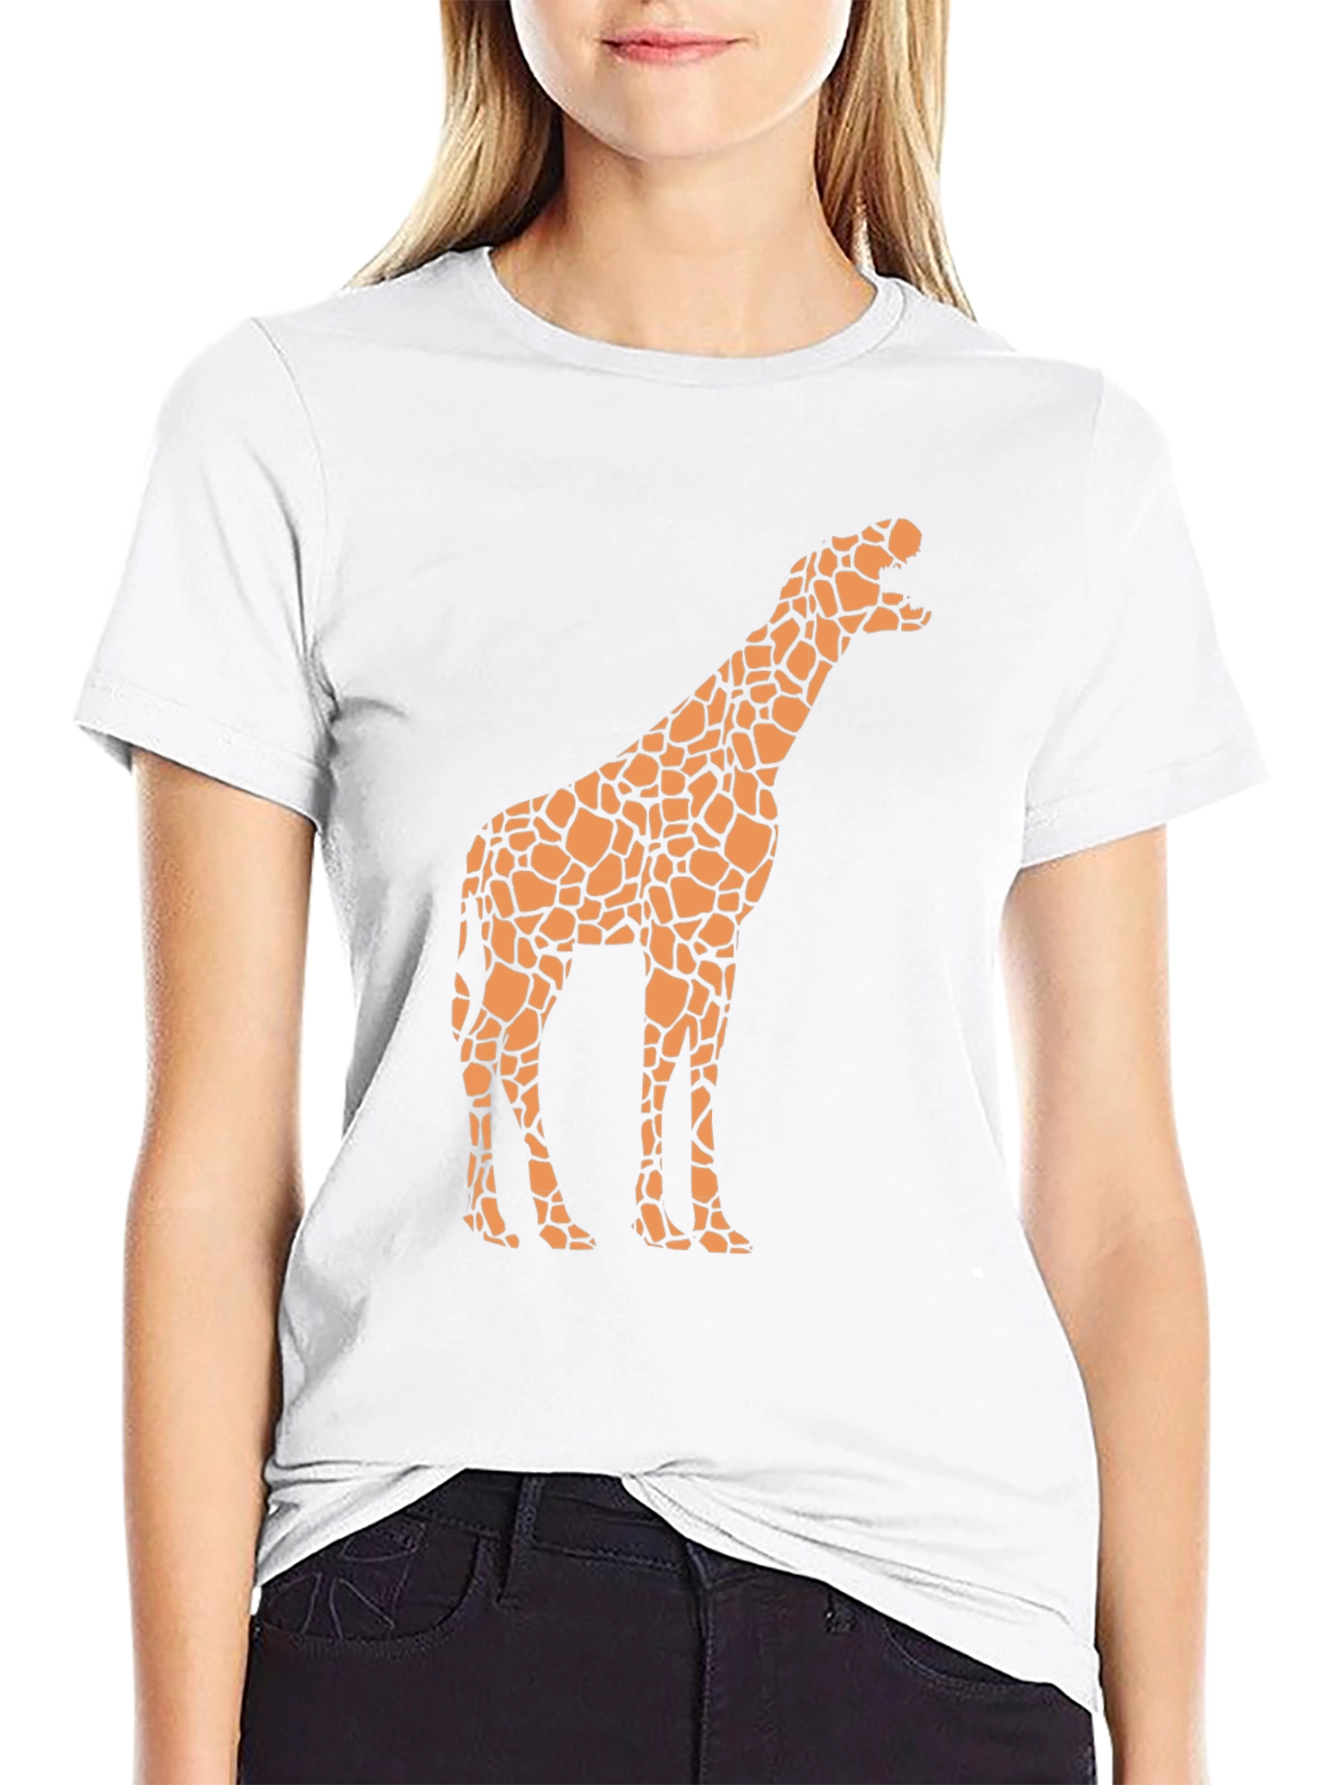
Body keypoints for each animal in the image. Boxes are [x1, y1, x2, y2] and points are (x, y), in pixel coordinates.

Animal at [451, 516, 930, 1252]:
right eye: (848, 548)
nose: (905, 526)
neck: (758, 756)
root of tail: (476, 852)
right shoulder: (670, 933)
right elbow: (657, 1060)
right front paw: (656, 1223)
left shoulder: (720, 937)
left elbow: (698, 1065)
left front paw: (712, 1225)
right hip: (520, 947)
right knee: (488, 1050)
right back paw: (503, 1221)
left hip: (547, 953)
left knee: (512, 1052)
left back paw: (544, 1223)